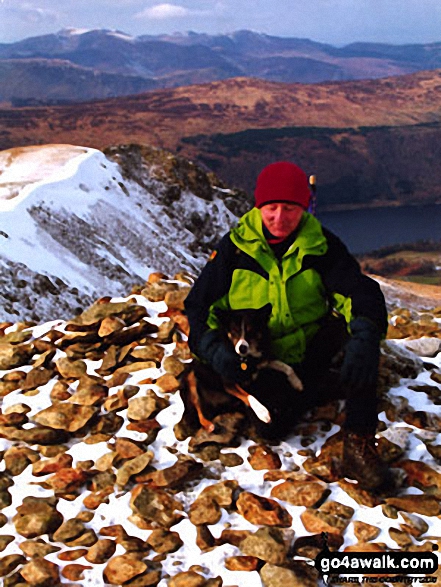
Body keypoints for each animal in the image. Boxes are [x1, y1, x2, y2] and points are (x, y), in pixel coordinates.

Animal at [179, 306, 302, 434]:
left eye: (251, 331)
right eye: (234, 331)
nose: (242, 348)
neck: (247, 359)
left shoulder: (263, 362)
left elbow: (287, 367)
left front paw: (297, 382)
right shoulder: (229, 383)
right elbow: (248, 396)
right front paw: (262, 412)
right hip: (192, 381)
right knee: (199, 412)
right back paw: (209, 425)